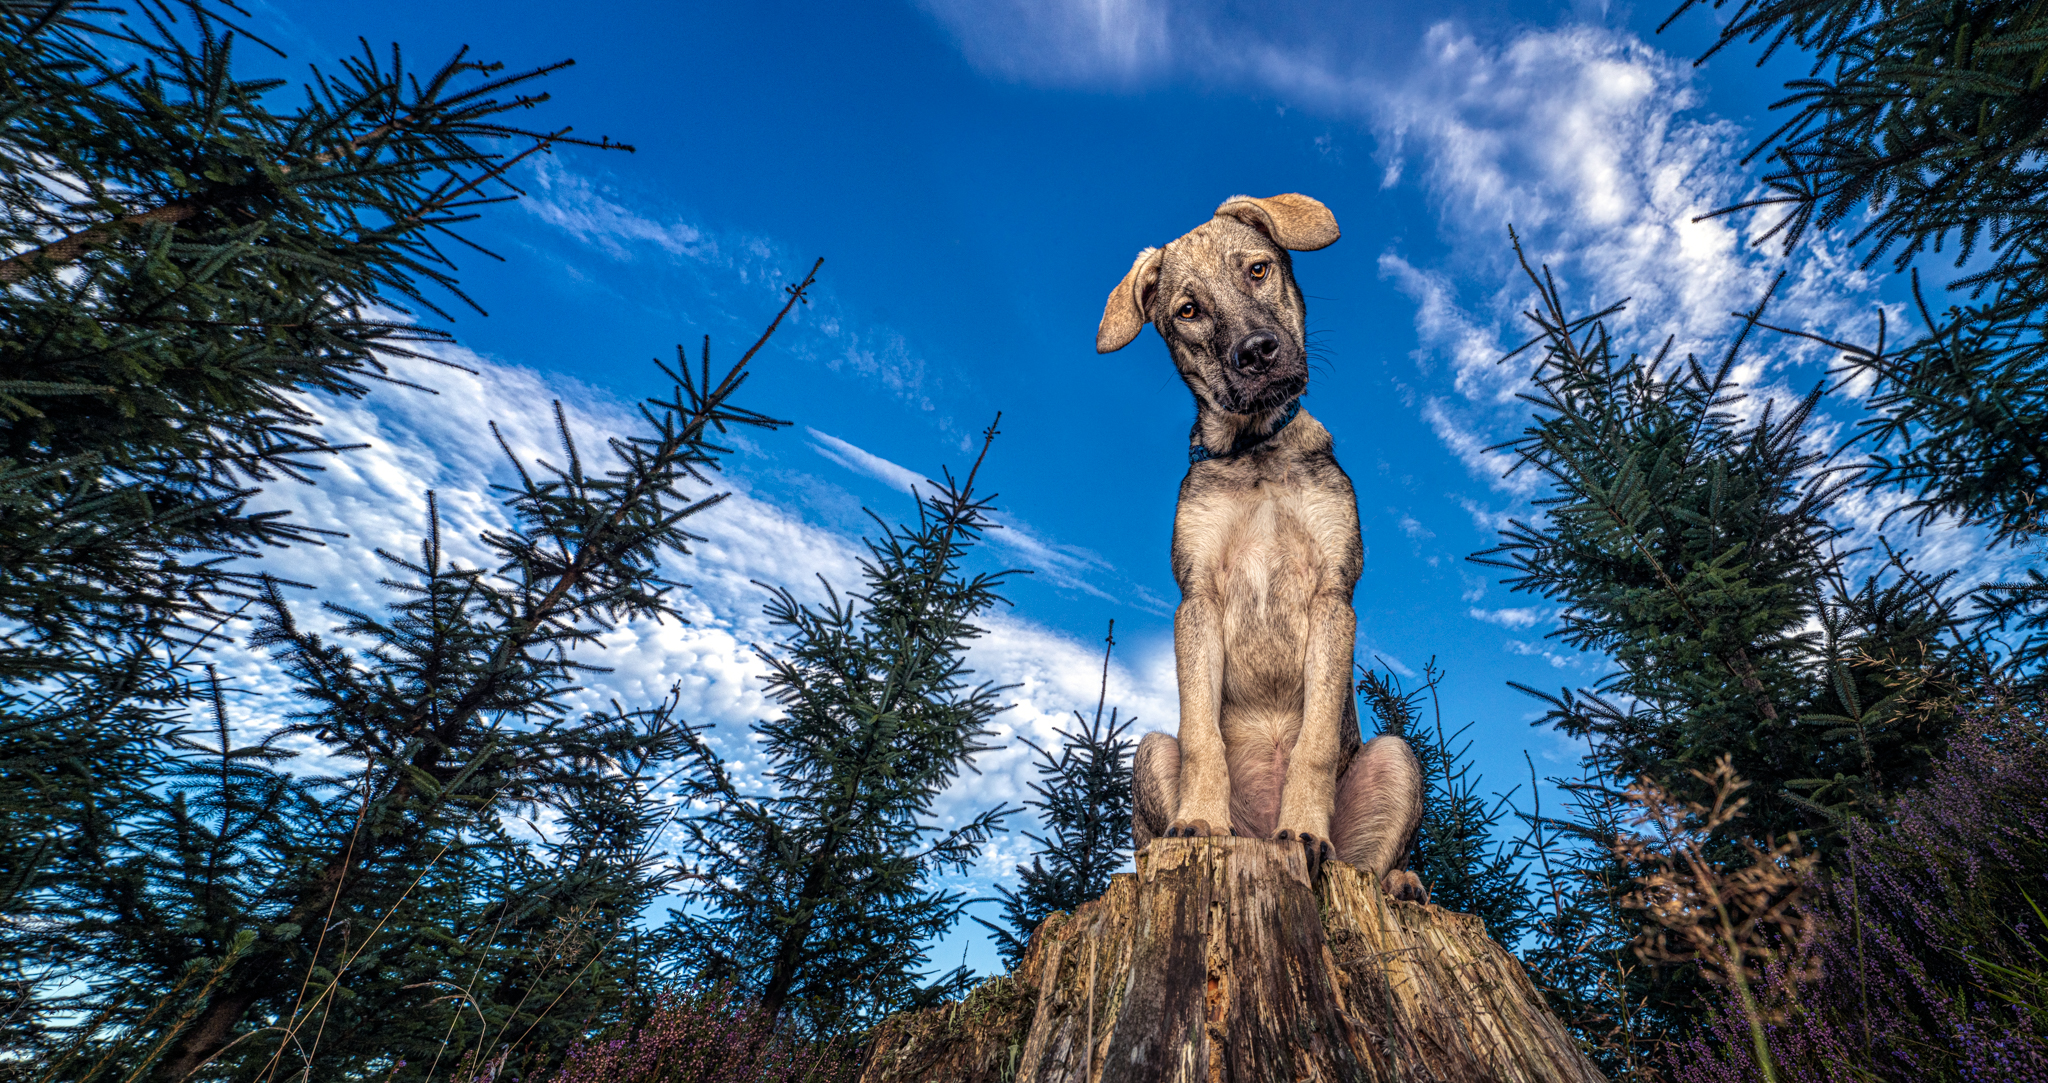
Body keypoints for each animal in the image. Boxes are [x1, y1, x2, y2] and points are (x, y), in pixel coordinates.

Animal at [1097, 193, 1427, 902]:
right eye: (1188, 311)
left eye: (1257, 269)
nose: (1256, 352)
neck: (1257, 455)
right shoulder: (1196, 600)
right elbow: (1202, 735)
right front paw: (1199, 819)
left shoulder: (1333, 596)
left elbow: (1315, 742)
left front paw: (1302, 829)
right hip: (1149, 751)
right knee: (1147, 831)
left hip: (1397, 758)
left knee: (1365, 861)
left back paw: (1398, 881)